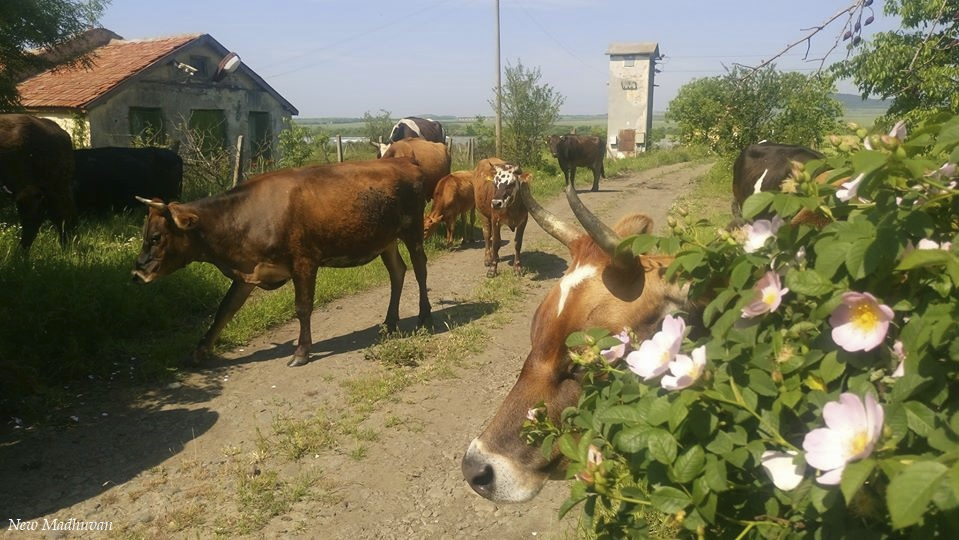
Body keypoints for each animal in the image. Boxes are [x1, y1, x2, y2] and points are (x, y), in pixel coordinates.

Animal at [132, 157, 433, 368]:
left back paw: (425, 316)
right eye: (145, 234)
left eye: (156, 237)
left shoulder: (304, 262)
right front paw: (198, 352)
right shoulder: (248, 271)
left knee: (420, 269)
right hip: (386, 240)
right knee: (398, 272)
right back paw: (390, 322)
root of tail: (404, 161)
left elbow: (302, 307)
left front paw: (301, 352)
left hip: (413, 231)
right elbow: (225, 309)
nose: (137, 273)